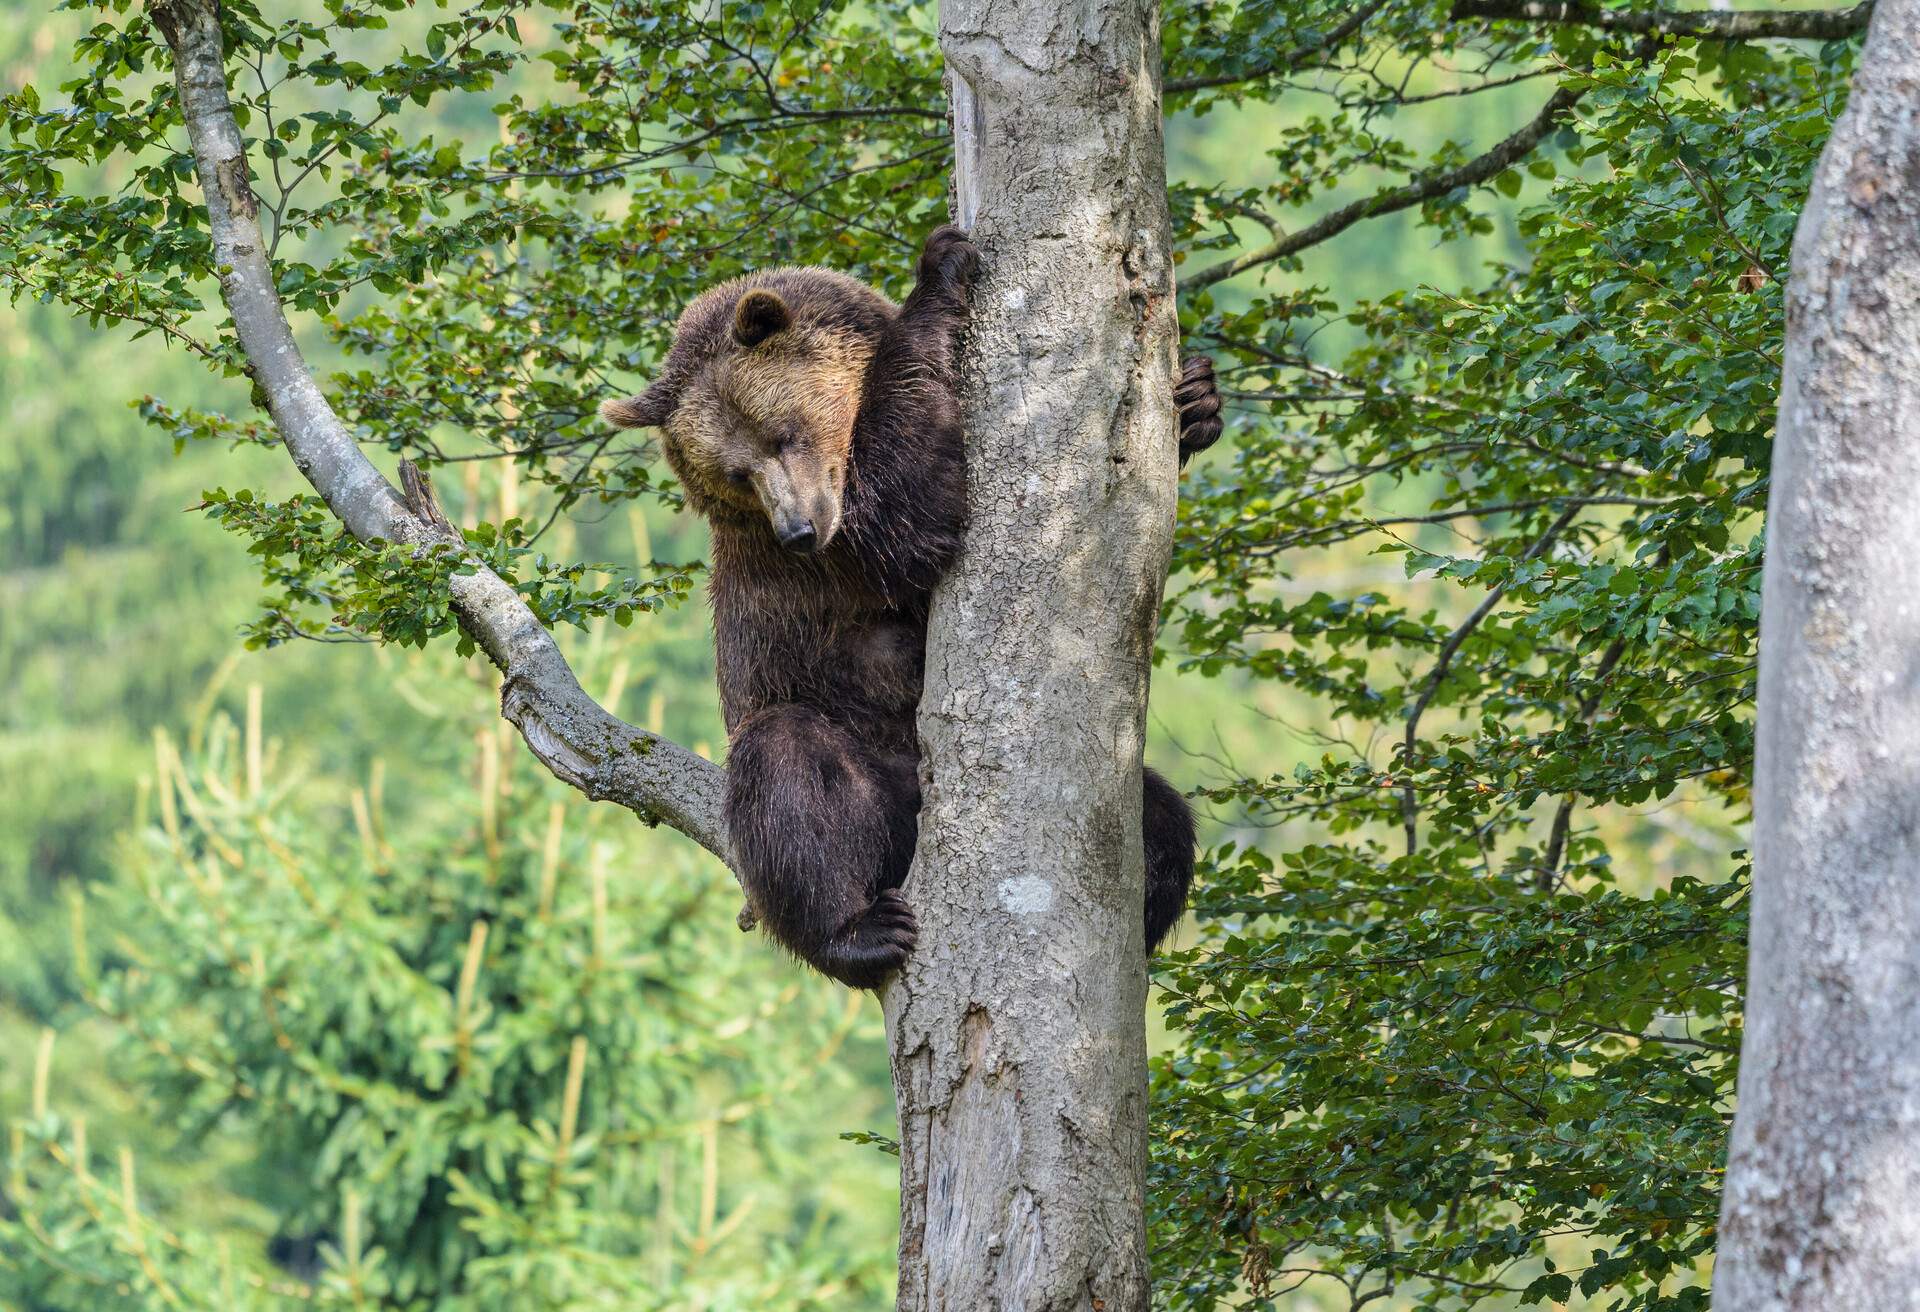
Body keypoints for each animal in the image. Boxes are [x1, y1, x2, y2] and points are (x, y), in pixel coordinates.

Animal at [606, 228, 1221, 983]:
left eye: (781, 434)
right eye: (736, 472)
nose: (797, 529)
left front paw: (1197, 400)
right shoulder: (838, 554)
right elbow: (905, 515)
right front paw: (941, 269)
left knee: (1160, 817)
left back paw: (1139, 921)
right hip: (857, 751)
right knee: (787, 772)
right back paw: (857, 930)